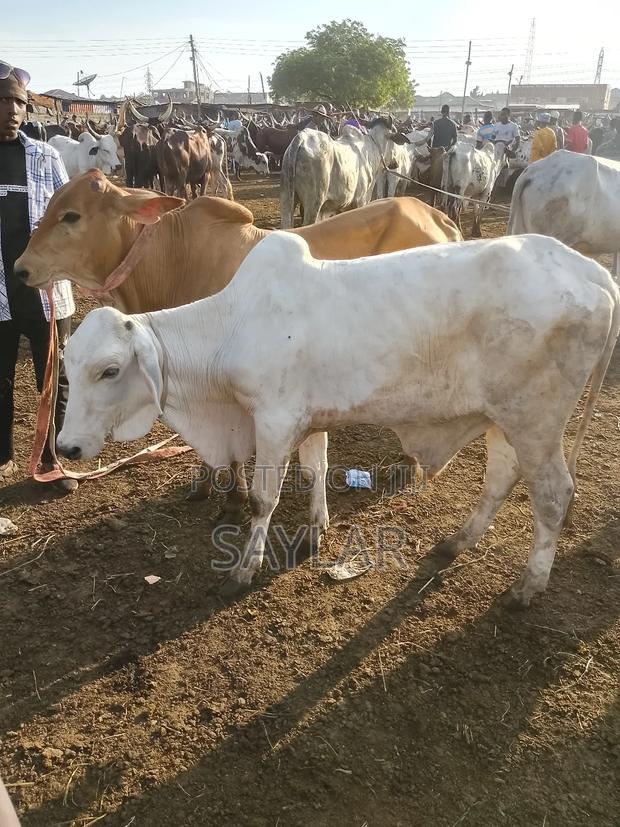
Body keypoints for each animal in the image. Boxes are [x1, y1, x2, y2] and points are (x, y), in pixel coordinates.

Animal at [15, 171, 462, 508]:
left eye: (71, 215)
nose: (20, 268)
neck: (173, 262)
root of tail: (439, 219)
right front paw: (205, 485)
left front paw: (233, 493)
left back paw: (412, 463)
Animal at [57, 233, 620, 605]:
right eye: (67, 362)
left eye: (109, 370)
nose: (66, 449)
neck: (232, 326)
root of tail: (593, 272)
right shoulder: (308, 419)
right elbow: (316, 470)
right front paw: (315, 532)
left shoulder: (273, 420)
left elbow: (263, 499)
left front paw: (245, 569)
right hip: (504, 418)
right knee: (502, 475)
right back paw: (456, 543)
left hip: (536, 422)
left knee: (553, 495)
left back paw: (528, 586)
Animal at [280, 117, 410, 228]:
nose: (396, 163)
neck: (373, 148)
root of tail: (301, 138)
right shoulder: (360, 201)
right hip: (314, 204)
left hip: (288, 200)